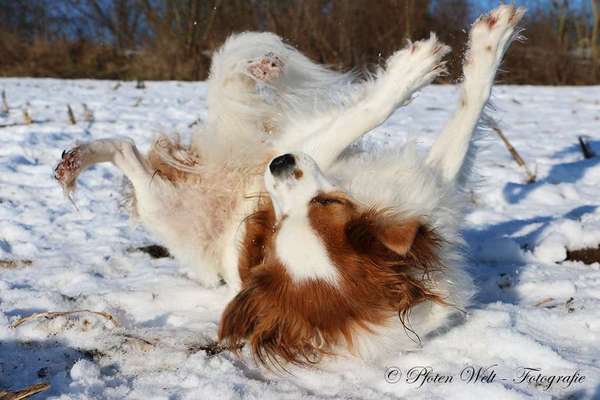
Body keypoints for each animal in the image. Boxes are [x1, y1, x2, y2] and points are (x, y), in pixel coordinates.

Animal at [218, 6, 524, 368]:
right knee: (351, 115)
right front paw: (490, 41)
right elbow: (466, 110)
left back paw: (267, 68)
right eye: (279, 225)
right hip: (309, 144)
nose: (280, 164)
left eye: (327, 203)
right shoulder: (430, 189)